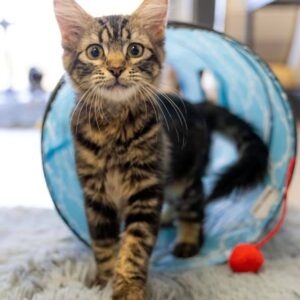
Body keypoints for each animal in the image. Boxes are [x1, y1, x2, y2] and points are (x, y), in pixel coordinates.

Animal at [54, 1, 270, 298]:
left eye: (134, 50)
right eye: (95, 52)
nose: (116, 68)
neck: (114, 125)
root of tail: (196, 105)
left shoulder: (145, 190)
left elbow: (134, 245)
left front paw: (128, 288)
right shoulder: (96, 195)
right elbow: (103, 244)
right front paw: (102, 280)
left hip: (185, 178)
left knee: (195, 206)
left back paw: (188, 240)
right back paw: (168, 218)